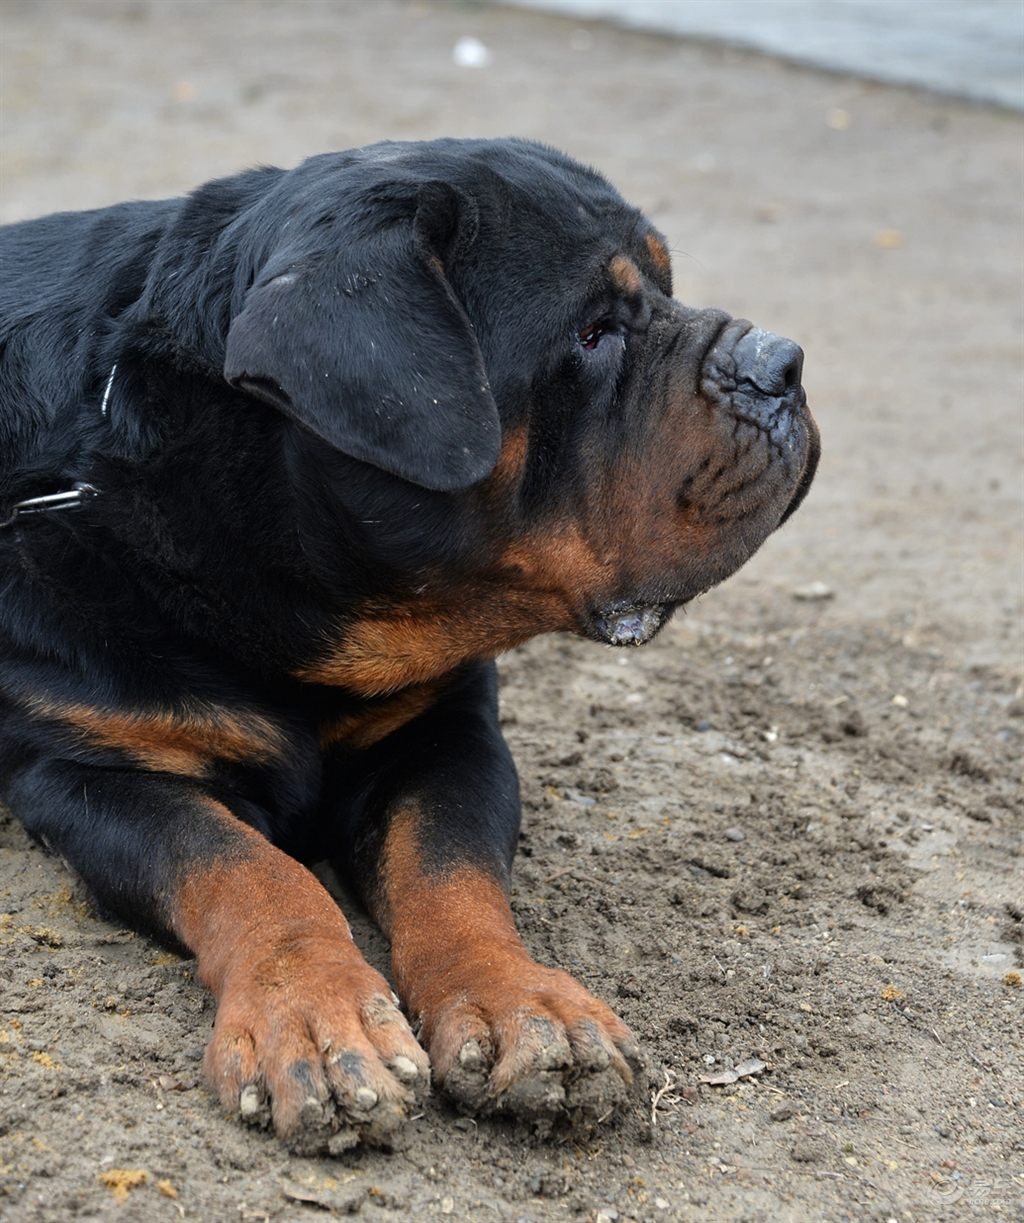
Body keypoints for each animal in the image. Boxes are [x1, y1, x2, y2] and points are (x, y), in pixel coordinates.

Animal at [0, 138, 817, 1149]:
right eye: (591, 334)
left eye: (664, 289)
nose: (783, 362)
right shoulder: (88, 769)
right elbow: (248, 869)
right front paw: (311, 1012)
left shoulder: (444, 731)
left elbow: (449, 873)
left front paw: (524, 1005)